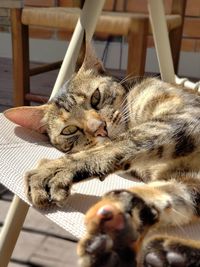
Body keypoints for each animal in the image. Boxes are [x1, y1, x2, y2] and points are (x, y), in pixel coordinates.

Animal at [4, 41, 200, 266]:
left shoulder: (186, 116)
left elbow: (118, 144)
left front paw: (53, 170)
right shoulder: (188, 179)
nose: (100, 128)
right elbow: (170, 194)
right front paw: (118, 219)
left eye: (95, 98)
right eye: (69, 130)